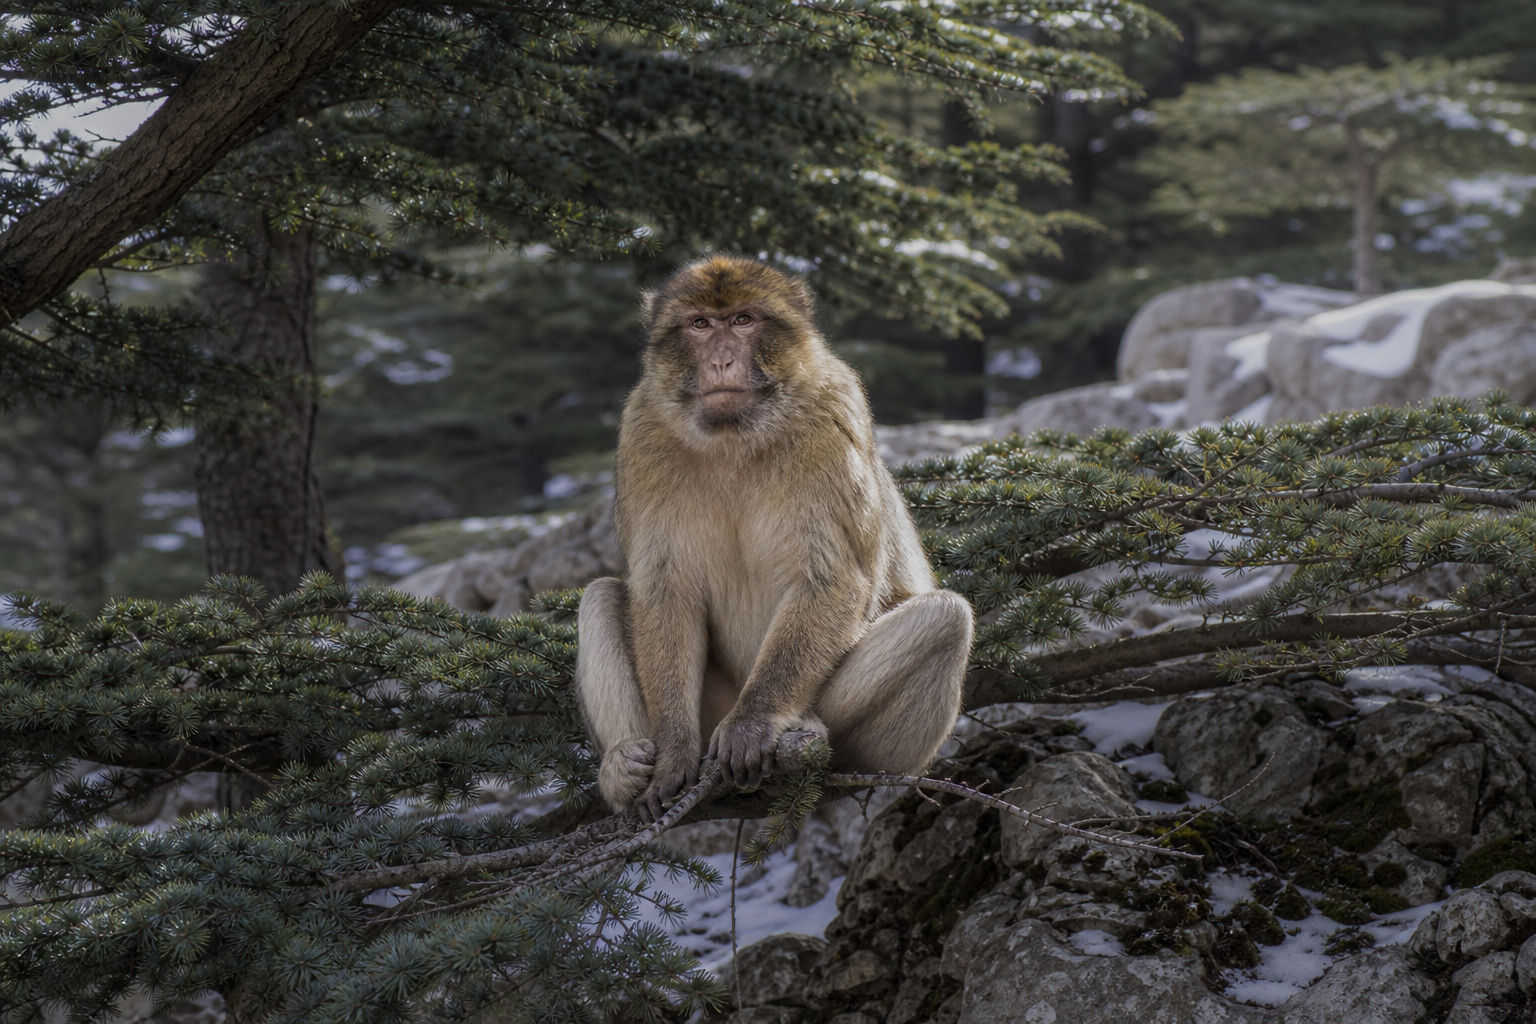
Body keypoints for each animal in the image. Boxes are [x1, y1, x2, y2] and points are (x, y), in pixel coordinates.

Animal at [574, 254, 974, 822]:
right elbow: (663, 589)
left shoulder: (832, 417)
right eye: (700, 324)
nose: (721, 361)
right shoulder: (641, 431)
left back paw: (814, 738)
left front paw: (754, 724)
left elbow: (832, 578)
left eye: (743, 320)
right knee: (602, 594)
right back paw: (623, 769)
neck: (734, 438)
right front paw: (672, 751)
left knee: (946, 618)